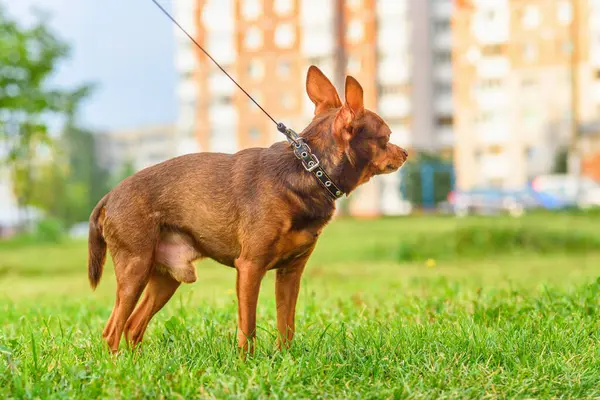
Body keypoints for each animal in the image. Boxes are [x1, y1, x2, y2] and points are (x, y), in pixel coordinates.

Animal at [88, 65, 408, 354]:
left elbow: (286, 324)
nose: (405, 152)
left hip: (165, 278)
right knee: (112, 330)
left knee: (132, 326)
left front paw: (285, 358)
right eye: (388, 136)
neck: (310, 168)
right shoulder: (250, 268)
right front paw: (247, 362)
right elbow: (248, 328)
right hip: (136, 269)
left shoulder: (290, 274)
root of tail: (108, 197)